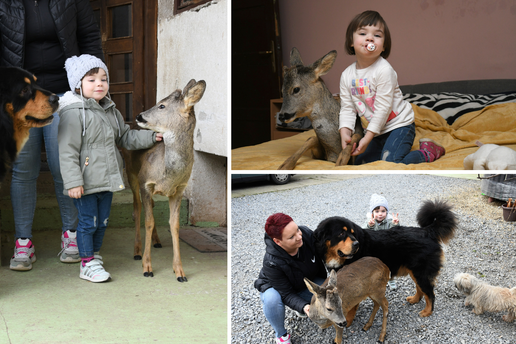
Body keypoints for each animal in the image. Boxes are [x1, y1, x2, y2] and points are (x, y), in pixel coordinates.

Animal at [123, 79, 206, 280]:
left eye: (162, 105)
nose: (139, 116)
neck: (168, 172)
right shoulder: (146, 183)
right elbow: (148, 221)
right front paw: (147, 267)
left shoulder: (179, 190)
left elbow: (174, 225)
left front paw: (180, 271)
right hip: (131, 173)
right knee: (137, 209)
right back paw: (137, 251)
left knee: (151, 207)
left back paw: (157, 241)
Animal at [314, 200, 456, 318]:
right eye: (341, 233)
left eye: (352, 233)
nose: (356, 244)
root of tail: (427, 231)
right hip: (416, 272)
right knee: (420, 289)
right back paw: (415, 299)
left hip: (421, 273)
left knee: (430, 294)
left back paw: (427, 311)